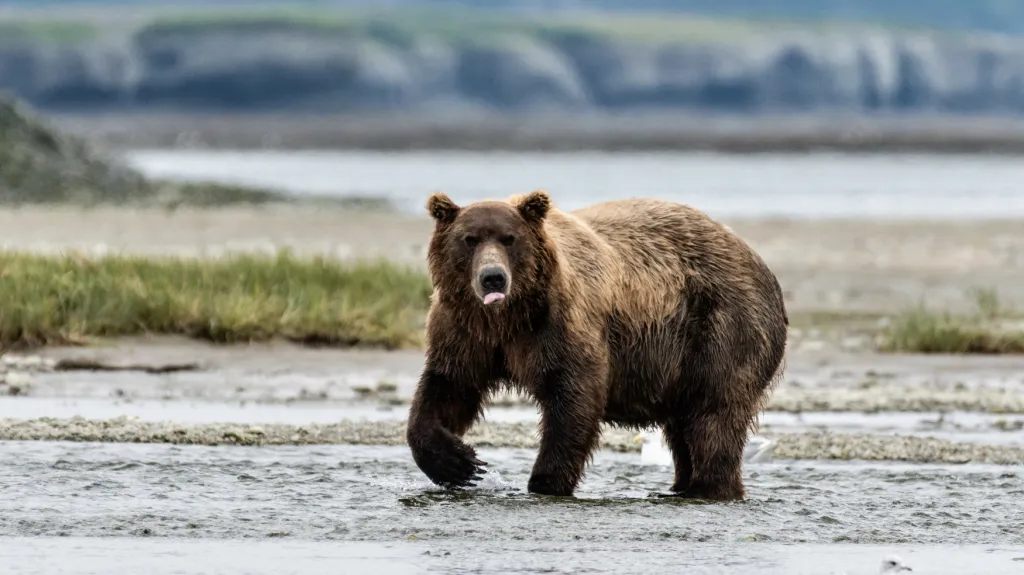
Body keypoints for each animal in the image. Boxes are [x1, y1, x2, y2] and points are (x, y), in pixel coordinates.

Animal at [406, 189, 788, 500]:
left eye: (509, 238)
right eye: (469, 239)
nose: (493, 278)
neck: (509, 317)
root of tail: (760, 263)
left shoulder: (560, 326)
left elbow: (574, 397)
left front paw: (545, 482)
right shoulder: (465, 333)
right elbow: (447, 389)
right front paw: (458, 464)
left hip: (722, 327)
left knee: (714, 416)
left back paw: (710, 488)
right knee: (685, 428)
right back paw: (681, 487)